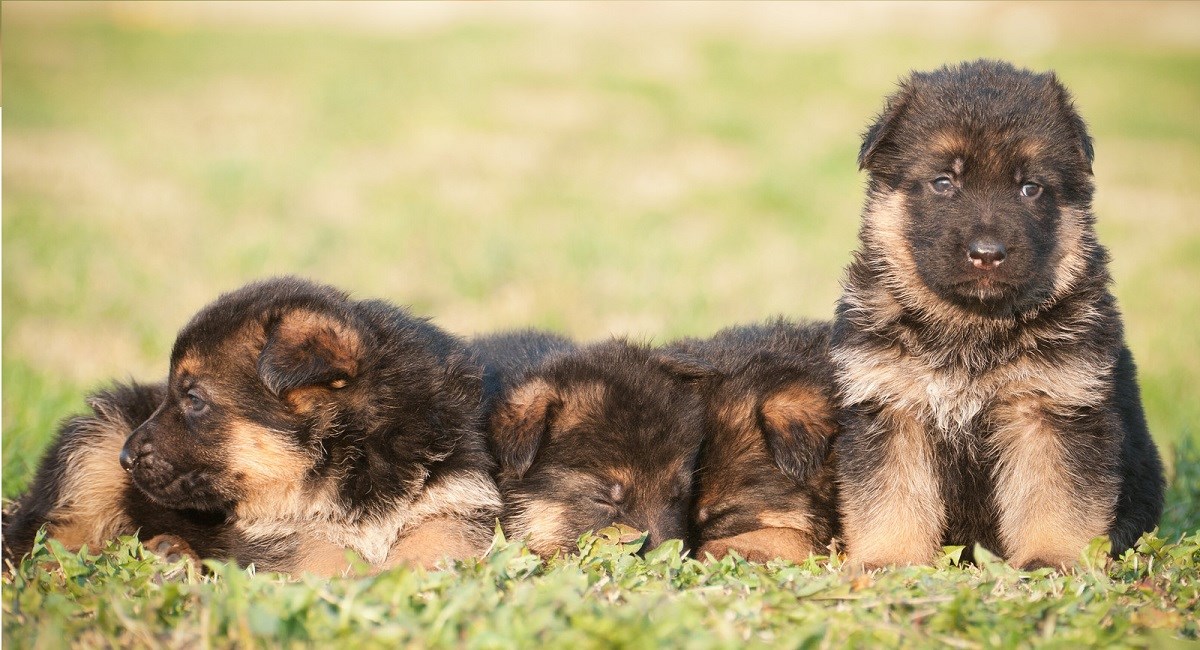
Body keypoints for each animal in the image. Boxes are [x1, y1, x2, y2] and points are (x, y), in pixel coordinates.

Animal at [7, 278, 501, 578]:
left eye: (194, 399)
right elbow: (324, 560)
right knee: (43, 542)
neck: (354, 459)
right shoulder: (278, 539)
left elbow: (439, 550)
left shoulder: (453, 507)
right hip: (92, 452)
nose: (126, 458)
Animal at [835, 61, 1161, 570]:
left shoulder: (1051, 410)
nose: (987, 254)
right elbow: (892, 494)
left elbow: (1055, 494)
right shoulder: (891, 407)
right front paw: (889, 559)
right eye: (943, 182)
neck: (972, 326)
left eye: (1029, 187)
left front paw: (1051, 558)